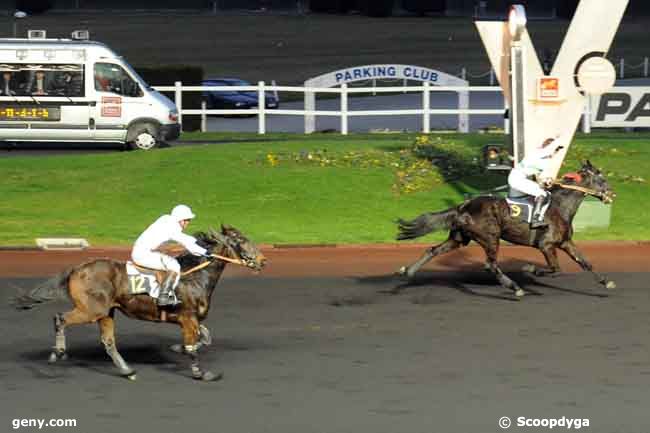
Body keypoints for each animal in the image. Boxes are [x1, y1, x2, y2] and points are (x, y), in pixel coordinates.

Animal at [10, 224, 264, 380]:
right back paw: (58, 352)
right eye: (241, 240)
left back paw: (126, 370)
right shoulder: (187, 318)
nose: (262, 260)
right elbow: (194, 346)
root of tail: (76, 269)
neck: (194, 276)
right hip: (92, 310)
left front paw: (177, 348)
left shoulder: (192, 319)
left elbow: (206, 337)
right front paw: (201, 373)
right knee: (60, 318)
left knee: (108, 342)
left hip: (106, 312)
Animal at [394, 160, 612, 298]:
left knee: (433, 250)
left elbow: (586, 263)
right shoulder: (546, 245)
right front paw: (530, 268)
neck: (559, 206)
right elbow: (555, 269)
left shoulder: (565, 242)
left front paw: (606, 282)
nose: (611, 194)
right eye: (602, 179)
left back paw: (408, 271)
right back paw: (515, 288)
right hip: (490, 237)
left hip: (459, 238)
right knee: (490, 265)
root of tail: (464, 205)